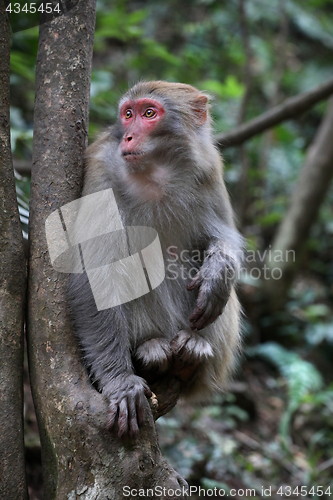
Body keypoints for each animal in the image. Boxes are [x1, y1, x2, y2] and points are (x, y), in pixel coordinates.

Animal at [68, 80, 243, 436]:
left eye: (149, 113)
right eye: (128, 114)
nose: (128, 137)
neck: (156, 173)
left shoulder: (208, 167)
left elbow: (224, 236)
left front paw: (218, 274)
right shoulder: (100, 172)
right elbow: (94, 271)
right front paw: (120, 382)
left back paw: (193, 352)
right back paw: (150, 351)